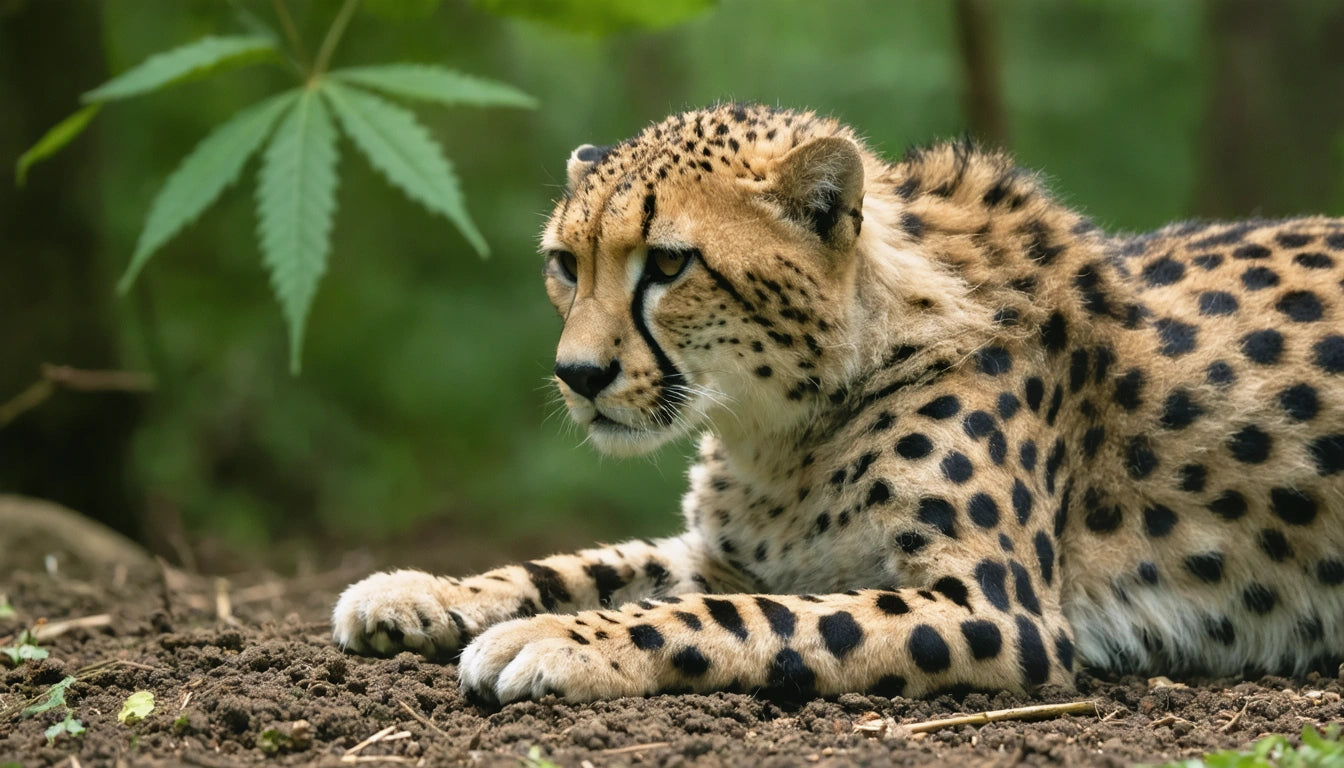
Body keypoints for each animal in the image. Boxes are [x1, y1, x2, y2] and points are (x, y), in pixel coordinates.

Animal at [332, 103, 1344, 705]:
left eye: (668, 264)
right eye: (563, 263)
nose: (576, 374)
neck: (779, 425)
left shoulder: (999, 609)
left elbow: (742, 620)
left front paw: (549, 639)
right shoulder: (723, 552)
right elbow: (585, 562)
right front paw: (419, 591)